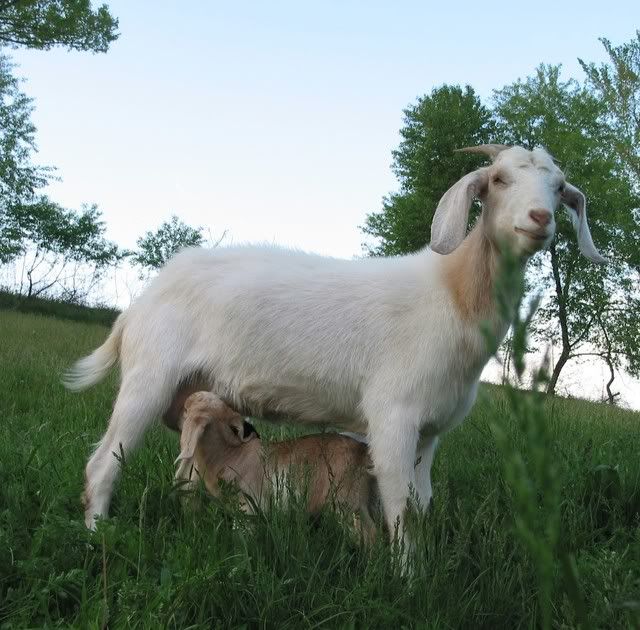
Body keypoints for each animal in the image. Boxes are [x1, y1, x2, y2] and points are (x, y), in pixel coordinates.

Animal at [175, 391, 376, 538]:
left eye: (185, 409)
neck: (229, 454)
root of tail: (364, 452)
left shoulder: (249, 506)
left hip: (347, 502)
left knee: (370, 536)